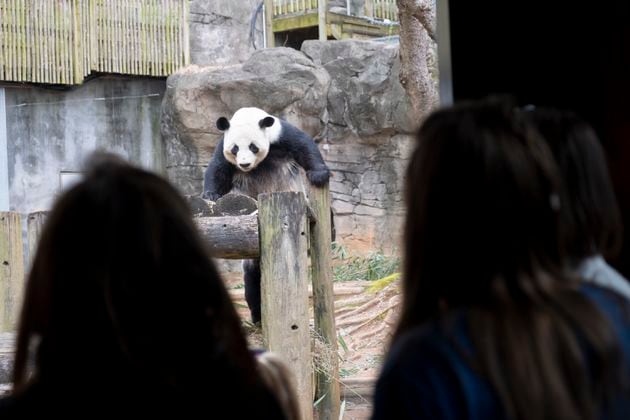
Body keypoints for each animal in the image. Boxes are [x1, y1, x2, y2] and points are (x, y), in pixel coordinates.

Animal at [204, 106, 334, 324]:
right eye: (235, 149)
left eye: (253, 147)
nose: (244, 165)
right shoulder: (223, 146)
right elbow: (217, 170)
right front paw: (210, 195)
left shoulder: (280, 135)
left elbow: (305, 147)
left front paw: (319, 175)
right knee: (252, 278)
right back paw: (257, 315)